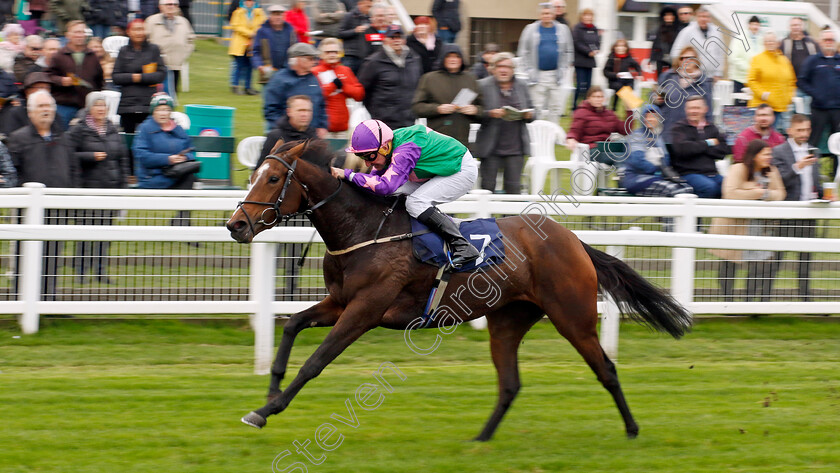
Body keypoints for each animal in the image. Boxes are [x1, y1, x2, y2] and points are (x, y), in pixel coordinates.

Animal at [225, 139, 688, 438]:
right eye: (254, 175)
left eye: (272, 179)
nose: (236, 225)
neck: (364, 230)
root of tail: (574, 241)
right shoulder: (340, 302)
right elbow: (290, 327)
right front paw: (268, 394)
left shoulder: (365, 310)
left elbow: (314, 363)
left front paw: (266, 410)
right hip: (508, 320)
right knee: (510, 384)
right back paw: (480, 439)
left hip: (572, 317)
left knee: (606, 369)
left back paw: (632, 429)